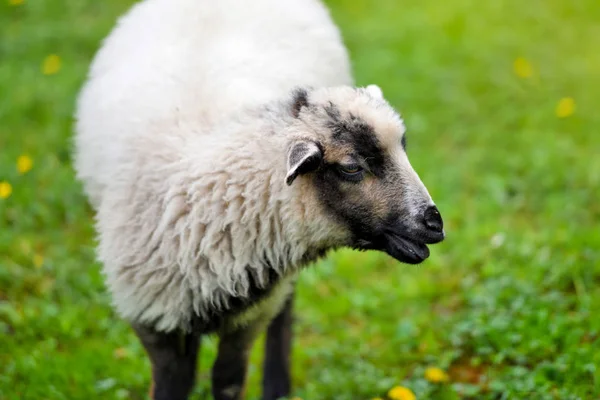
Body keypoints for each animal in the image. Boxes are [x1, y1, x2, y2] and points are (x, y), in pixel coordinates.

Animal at [71, 0, 446, 400]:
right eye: (351, 167)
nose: (435, 224)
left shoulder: (251, 315)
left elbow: (229, 380)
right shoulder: (152, 316)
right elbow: (174, 382)